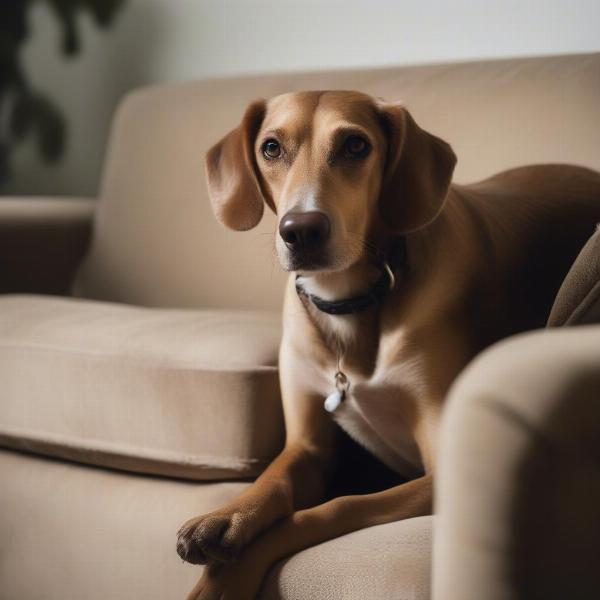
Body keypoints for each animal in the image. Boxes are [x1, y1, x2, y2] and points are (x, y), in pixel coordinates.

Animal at [176, 90, 600, 600]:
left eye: (356, 145)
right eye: (271, 148)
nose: (301, 230)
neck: (350, 301)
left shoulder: (438, 473)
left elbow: (336, 506)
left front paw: (231, 572)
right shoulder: (306, 447)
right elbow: (273, 479)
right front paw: (227, 516)